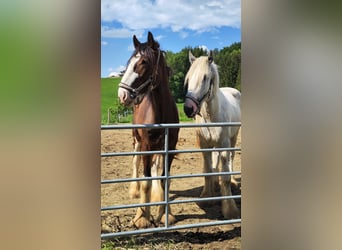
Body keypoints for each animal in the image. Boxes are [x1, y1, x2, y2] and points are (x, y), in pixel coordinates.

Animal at [117, 31, 179, 229]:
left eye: (143, 61)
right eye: (129, 61)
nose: (122, 95)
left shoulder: (170, 146)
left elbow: (164, 179)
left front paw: (165, 213)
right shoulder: (145, 144)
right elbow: (146, 181)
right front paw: (142, 217)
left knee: (156, 168)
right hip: (137, 141)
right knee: (136, 162)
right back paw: (134, 191)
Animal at [184, 50, 240, 219]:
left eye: (205, 78)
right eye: (188, 78)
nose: (188, 108)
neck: (210, 115)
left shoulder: (224, 145)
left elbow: (225, 177)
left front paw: (230, 209)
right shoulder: (205, 146)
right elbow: (208, 171)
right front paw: (207, 197)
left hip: (233, 138)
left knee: (231, 158)